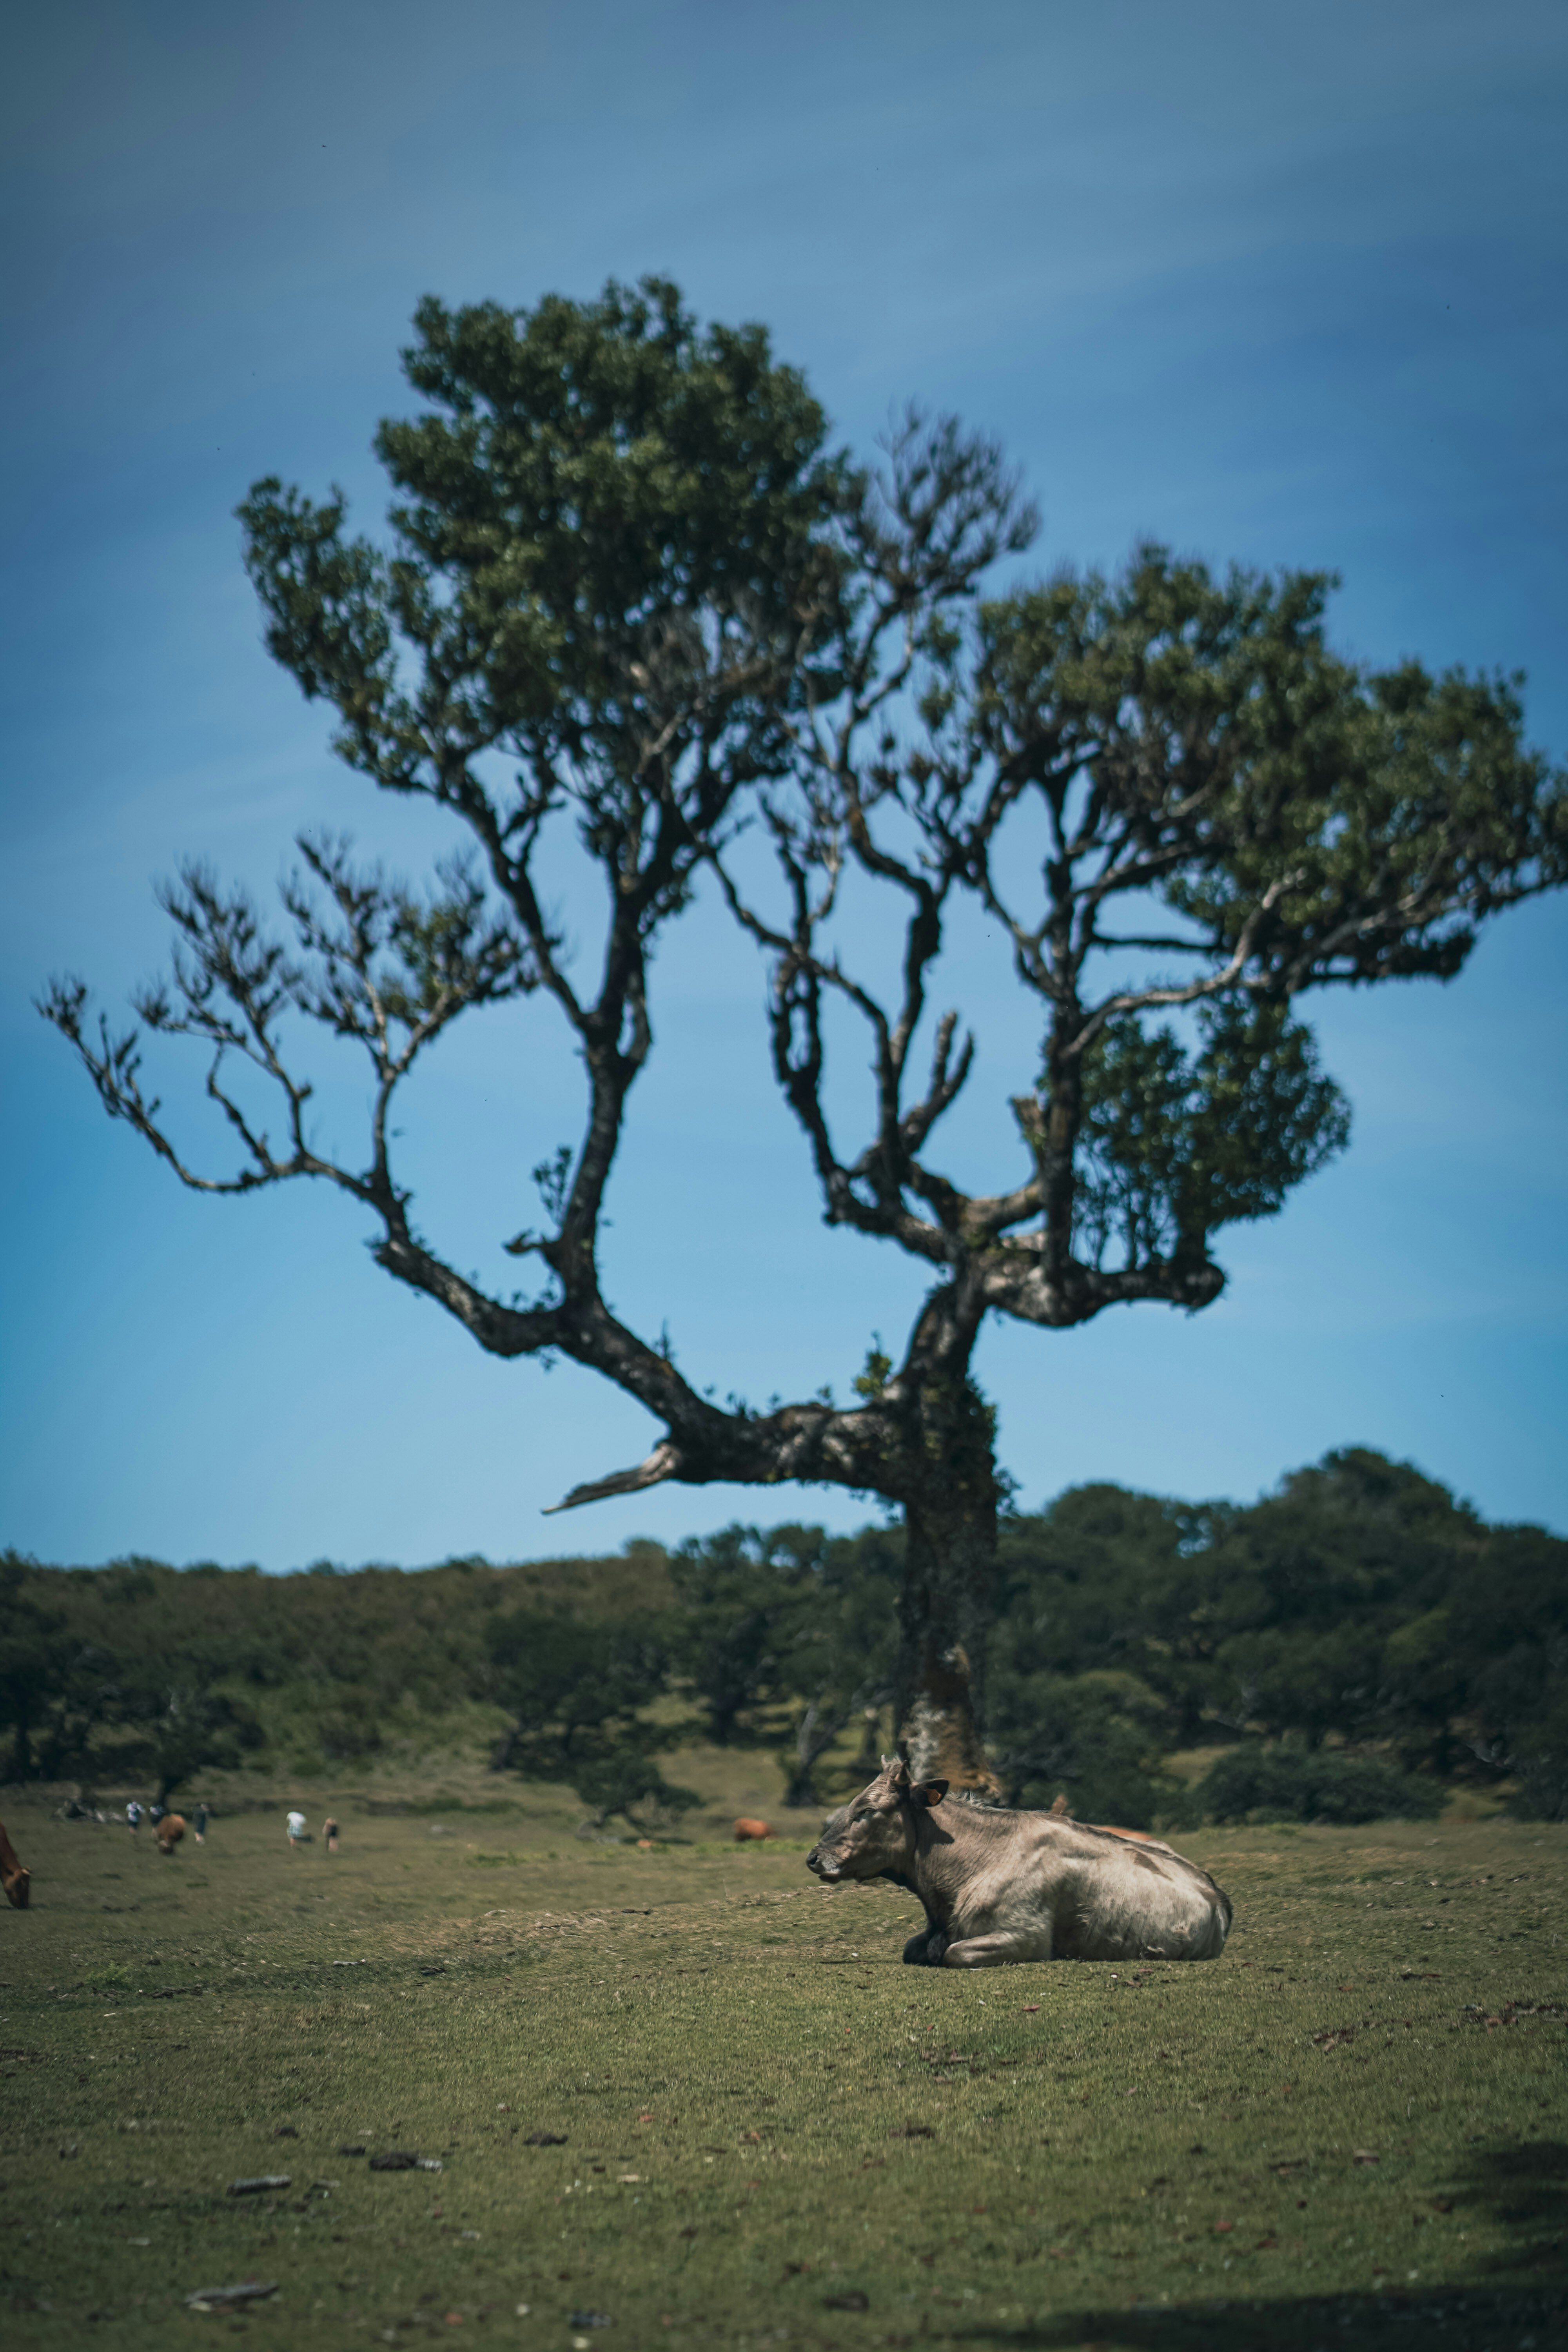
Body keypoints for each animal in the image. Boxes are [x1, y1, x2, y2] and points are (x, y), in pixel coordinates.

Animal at [806, 1756, 1231, 1966]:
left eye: (866, 1811)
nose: (814, 1857)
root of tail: (1216, 1893)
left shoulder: (1025, 1937)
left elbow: (954, 1953)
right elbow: (914, 1949)